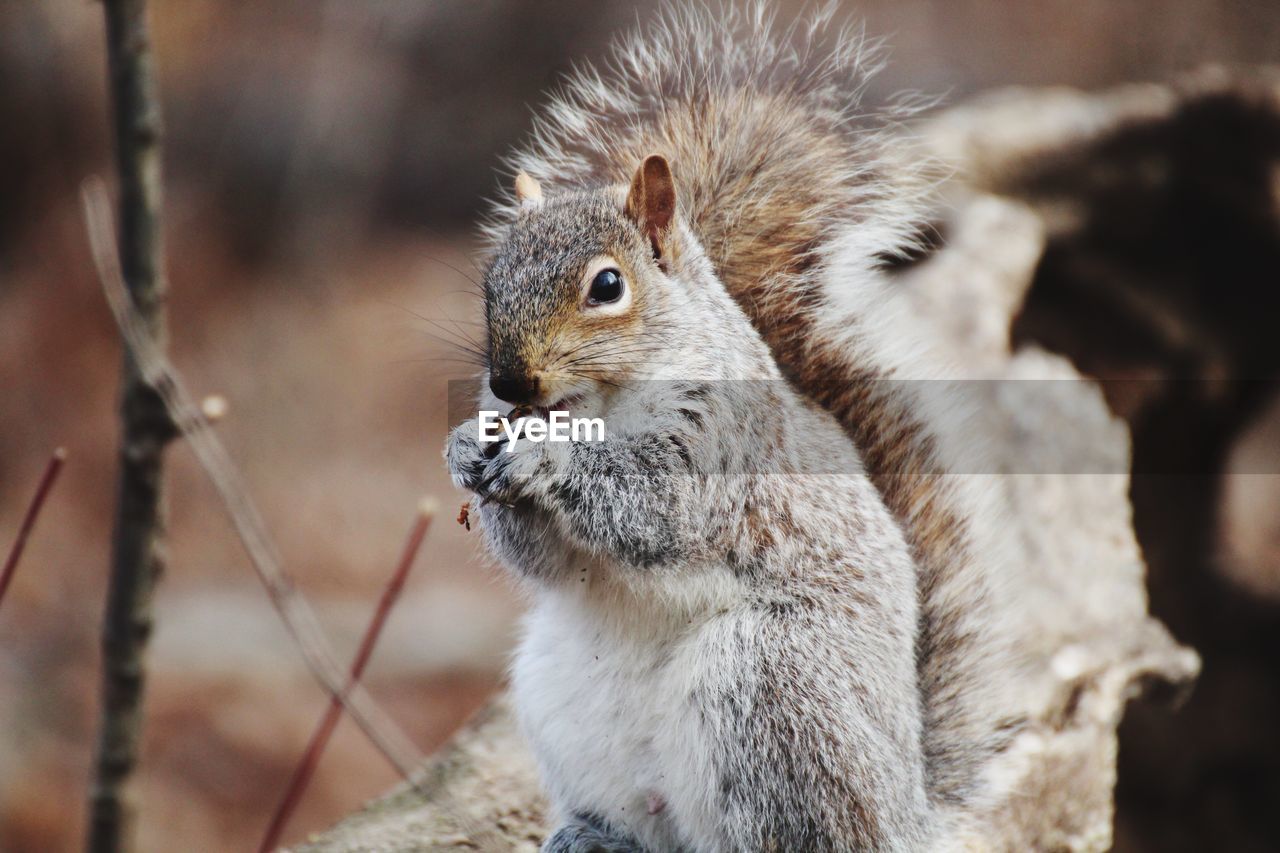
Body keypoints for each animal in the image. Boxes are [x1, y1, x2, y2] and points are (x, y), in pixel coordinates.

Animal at [448, 3, 1018, 845]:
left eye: (608, 286)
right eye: (491, 280)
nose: (510, 380)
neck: (597, 406)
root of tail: (907, 810)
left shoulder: (722, 438)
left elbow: (658, 509)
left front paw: (547, 460)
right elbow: (542, 559)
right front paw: (465, 449)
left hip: (767, 684)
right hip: (562, 701)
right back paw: (593, 833)